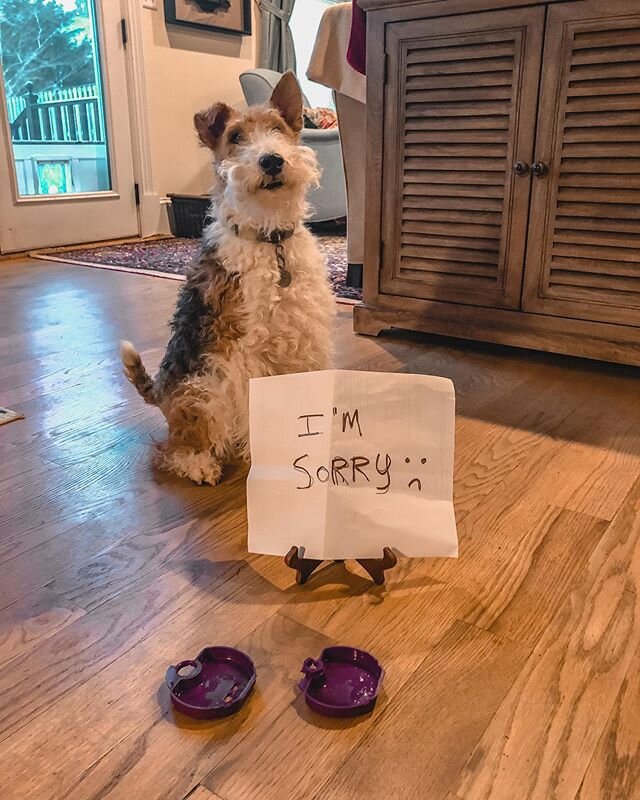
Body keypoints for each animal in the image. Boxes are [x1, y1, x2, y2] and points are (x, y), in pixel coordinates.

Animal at [122, 73, 338, 482]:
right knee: (170, 449)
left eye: (278, 128)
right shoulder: (246, 356)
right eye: (236, 136)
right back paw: (200, 465)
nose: (272, 161)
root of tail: (160, 391)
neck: (271, 241)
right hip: (204, 389)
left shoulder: (306, 340)